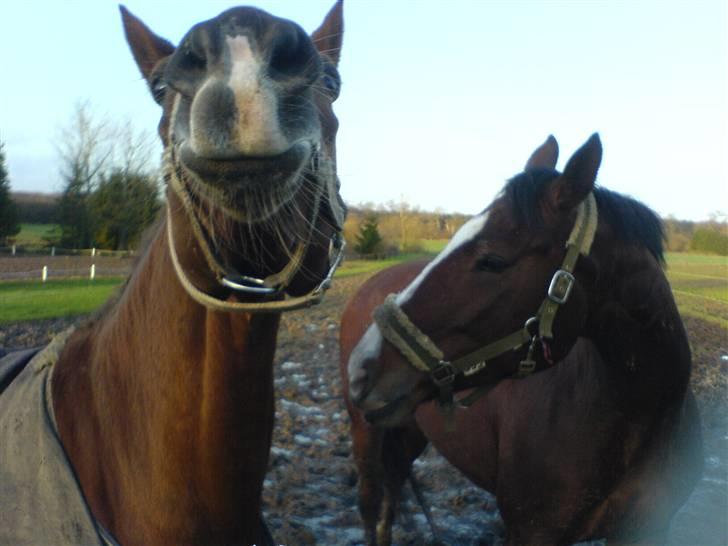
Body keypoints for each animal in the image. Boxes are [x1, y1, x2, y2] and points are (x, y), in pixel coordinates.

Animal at [342, 135, 704, 544]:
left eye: (493, 261)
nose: (362, 367)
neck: (636, 419)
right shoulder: (531, 532)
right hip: (365, 432)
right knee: (371, 504)